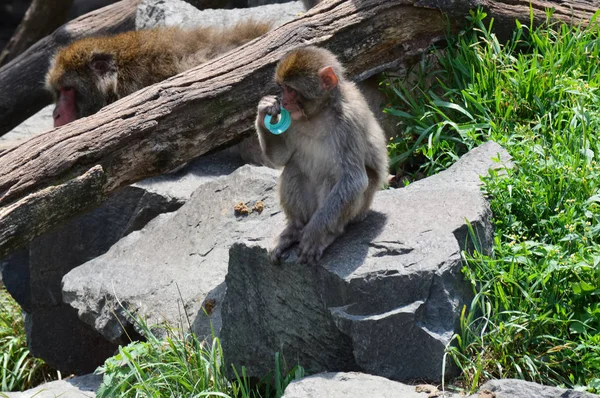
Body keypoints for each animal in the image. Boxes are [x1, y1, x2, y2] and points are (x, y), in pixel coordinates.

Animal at [256, 45, 390, 264]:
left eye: (291, 90)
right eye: (282, 88)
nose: (283, 101)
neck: (318, 113)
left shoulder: (349, 121)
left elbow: (353, 180)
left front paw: (314, 234)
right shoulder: (293, 121)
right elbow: (281, 157)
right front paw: (264, 110)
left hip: (359, 210)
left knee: (335, 179)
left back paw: (327, 235)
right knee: (293, 169)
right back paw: (295, 228)